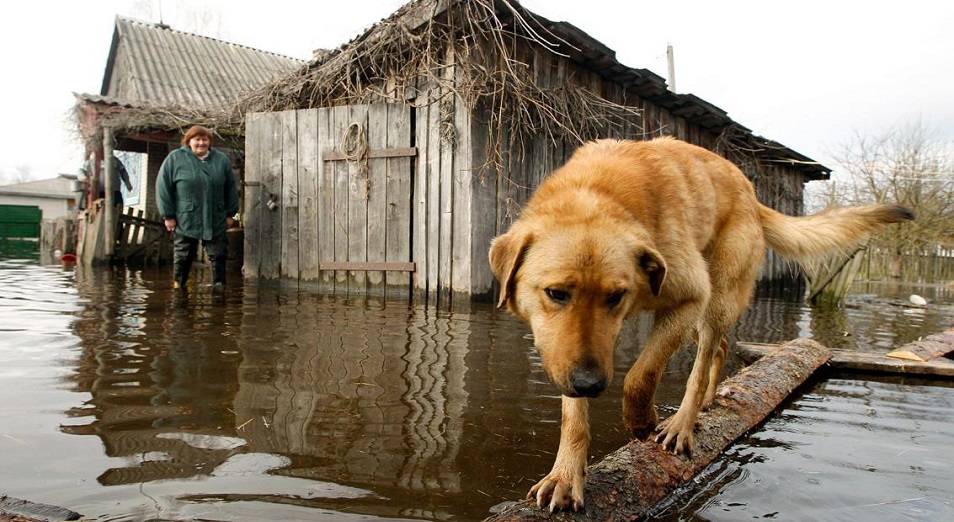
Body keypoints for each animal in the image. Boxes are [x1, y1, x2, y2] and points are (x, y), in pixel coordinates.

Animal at [488, 136, 912, 510]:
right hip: (698, 317)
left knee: (704, 358)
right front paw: (565, 476)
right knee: (720, 348)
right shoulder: (569, 352)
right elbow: (573, 416)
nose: (590, 385)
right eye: (557, 293)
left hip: (714, 299)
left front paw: (641, 421)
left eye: (616, 296)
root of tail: (751, 194)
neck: (596, 194)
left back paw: (683, 423)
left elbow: (640, 376)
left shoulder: (688, 297)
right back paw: (708, 400)